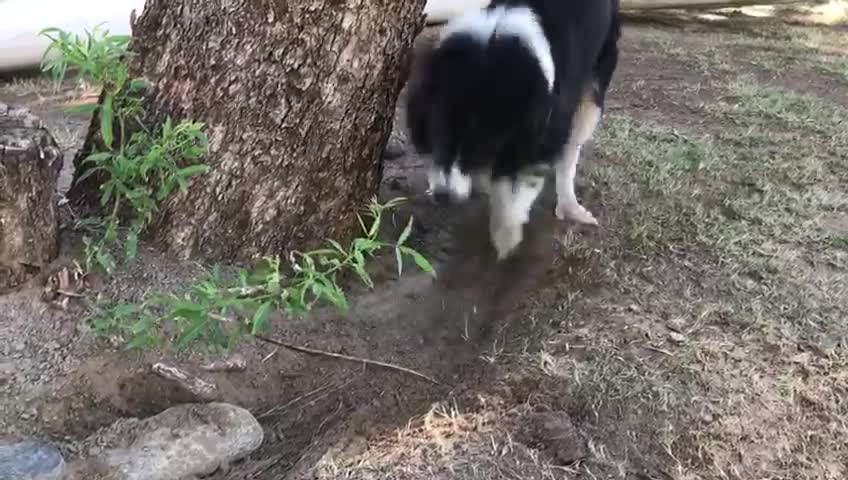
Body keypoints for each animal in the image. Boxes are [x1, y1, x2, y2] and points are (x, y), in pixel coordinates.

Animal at [408, 0, 620, 260]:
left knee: (571, 149)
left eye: (479, 146)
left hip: (593, 89)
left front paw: (505, 239)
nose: (442, 196)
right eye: (439, 135)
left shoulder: (542, 128)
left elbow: (515, 182)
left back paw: (570, 207)